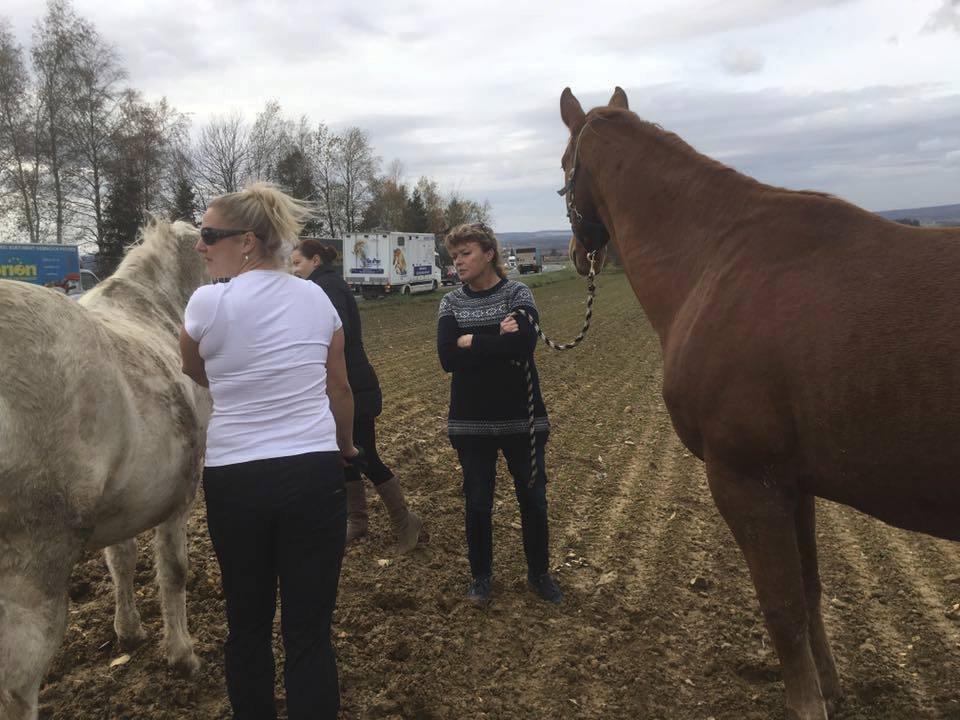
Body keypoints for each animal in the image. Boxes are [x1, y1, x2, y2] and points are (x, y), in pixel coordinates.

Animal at [0, 221, 211, 720]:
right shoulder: (180, 499)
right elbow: (173, 571)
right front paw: (182, 654)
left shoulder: (126, 501)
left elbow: (121, 562)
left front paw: (128, 630)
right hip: (31, 571)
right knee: (17, 687)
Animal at [560, 87, 960, 716]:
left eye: (562, 169)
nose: (577, 253)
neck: (716, 259)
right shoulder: (794, 483)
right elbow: (809, 591)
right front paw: (831, 689)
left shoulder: (745, 480)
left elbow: (782, 608)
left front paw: (808, 702)